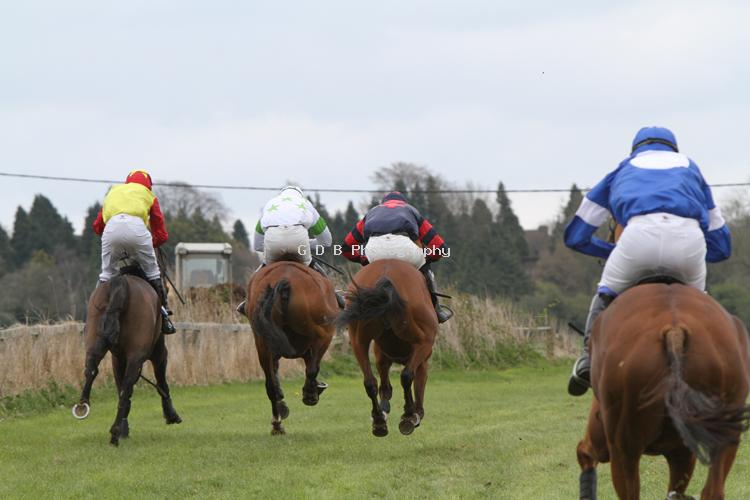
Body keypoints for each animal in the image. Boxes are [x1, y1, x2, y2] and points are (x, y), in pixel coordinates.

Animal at [72, 267, 182, 446]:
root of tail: (120, 283)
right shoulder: (158, 351)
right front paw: (171, 414)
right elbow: (161, 380)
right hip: (137, 356)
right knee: (127, 386)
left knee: (92, 370)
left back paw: (83, 405)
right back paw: (115, 432)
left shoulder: (117, 358)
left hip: (93, 339)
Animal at [245, 260, 339, 435]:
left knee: (270, 384)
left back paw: (277, 424)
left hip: (262, 342)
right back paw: (310, 395)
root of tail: (285, 280)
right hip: (323, 333)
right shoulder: (316, 343)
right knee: (312, 368)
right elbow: (312, 368)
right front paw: (312, 391)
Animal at [337, 259, 438, 437]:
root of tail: (387, 275)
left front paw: (384, 411)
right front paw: (415, 414)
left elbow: (384, 385)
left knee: (370, 382)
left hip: (358, 340)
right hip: (423, 339)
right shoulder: (423, 355)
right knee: (406, 376)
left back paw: (379, 422)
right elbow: (417, 383)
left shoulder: (381, 356)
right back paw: (408, 416)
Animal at [576, 282, 750, 499]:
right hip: (723, 433)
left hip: (623, 447)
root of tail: (674, 329)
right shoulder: (682, 453)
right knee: (713, 490)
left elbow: (585, 453)